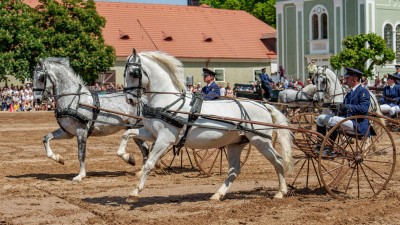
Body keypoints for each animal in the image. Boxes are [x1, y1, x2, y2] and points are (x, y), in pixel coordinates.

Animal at [122, 50, 294, 200]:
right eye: (124, 73)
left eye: (134, 73)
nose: (129, 99)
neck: (168, 103)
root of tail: (263, 105)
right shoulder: (151, 134)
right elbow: (127, 134)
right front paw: (128, 158)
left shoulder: (165, 139)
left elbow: (149, 164)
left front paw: (135, 191)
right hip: (236, 144)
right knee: (234, 170)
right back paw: (218, 195)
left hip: (261, 141)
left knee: (278, 161)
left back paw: (281, 192)